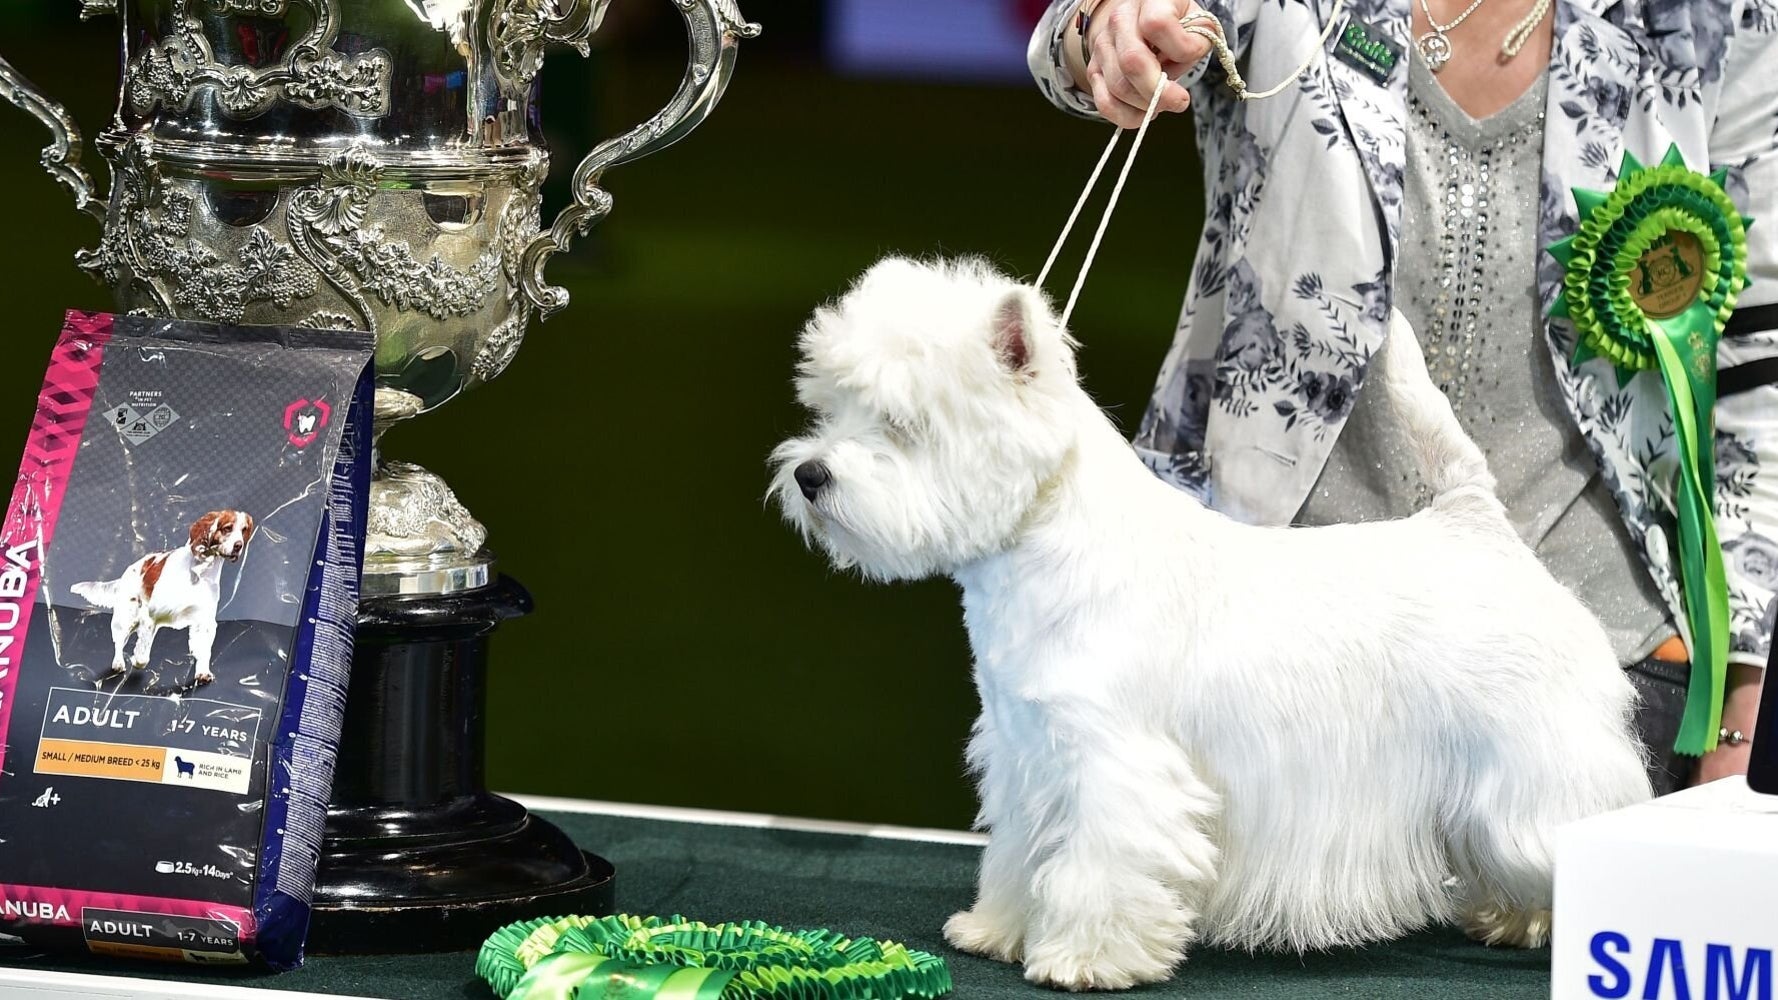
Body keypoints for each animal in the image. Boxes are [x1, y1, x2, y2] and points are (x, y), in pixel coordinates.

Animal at [771, 256, 1657, 989]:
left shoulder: (1117, 762)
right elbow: (1024, 852)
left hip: (1536, 763)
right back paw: (1518, 917)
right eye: (830, 409)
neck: (1044, 549)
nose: (810, 475)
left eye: (902, 425)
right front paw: (1000, 929)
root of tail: (1476, 524)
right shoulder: (1029, 755)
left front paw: (1084, 958)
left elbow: (1100, 864)